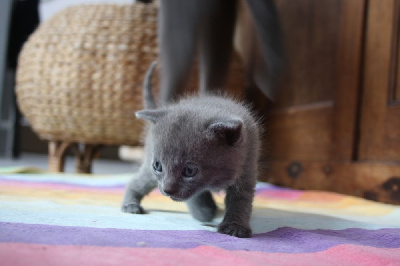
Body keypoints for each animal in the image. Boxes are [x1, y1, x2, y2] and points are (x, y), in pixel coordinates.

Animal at [120, 61, 260, 237]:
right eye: (158, 165)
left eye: (189, 170)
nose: (167, 189)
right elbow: (195, 196)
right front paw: (204, 212)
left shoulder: (248, 165)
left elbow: (241, 200)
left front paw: (235, 226)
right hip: (149, 169)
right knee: (137, 181)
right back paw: (130, 205)